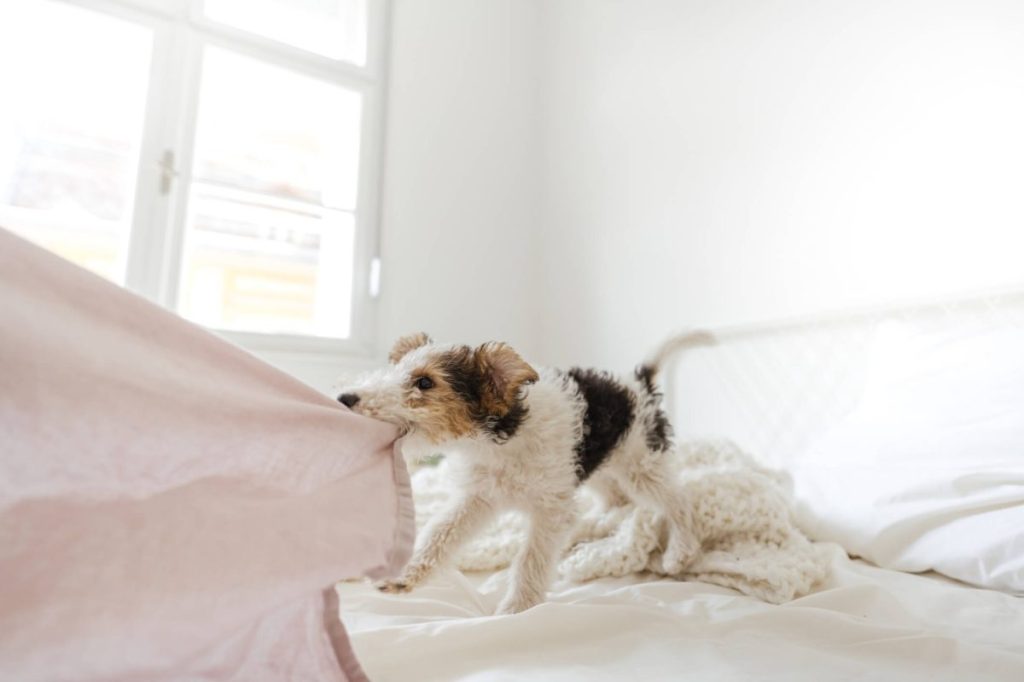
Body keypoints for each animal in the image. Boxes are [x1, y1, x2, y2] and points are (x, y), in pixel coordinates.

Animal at [335, 331, 712, 614]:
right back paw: (594, 526)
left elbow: (531, 559)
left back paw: (680, 553)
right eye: (395, 371)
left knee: (680, 501)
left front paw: (517, 607)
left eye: (425, 382)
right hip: (600, 466)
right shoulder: (479, 498)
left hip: (641, 466)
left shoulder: (551, 509)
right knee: (616, 501)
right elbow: (440, 534)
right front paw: (404, 576)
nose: (344, 398)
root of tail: (637, 385)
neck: (500, 439)